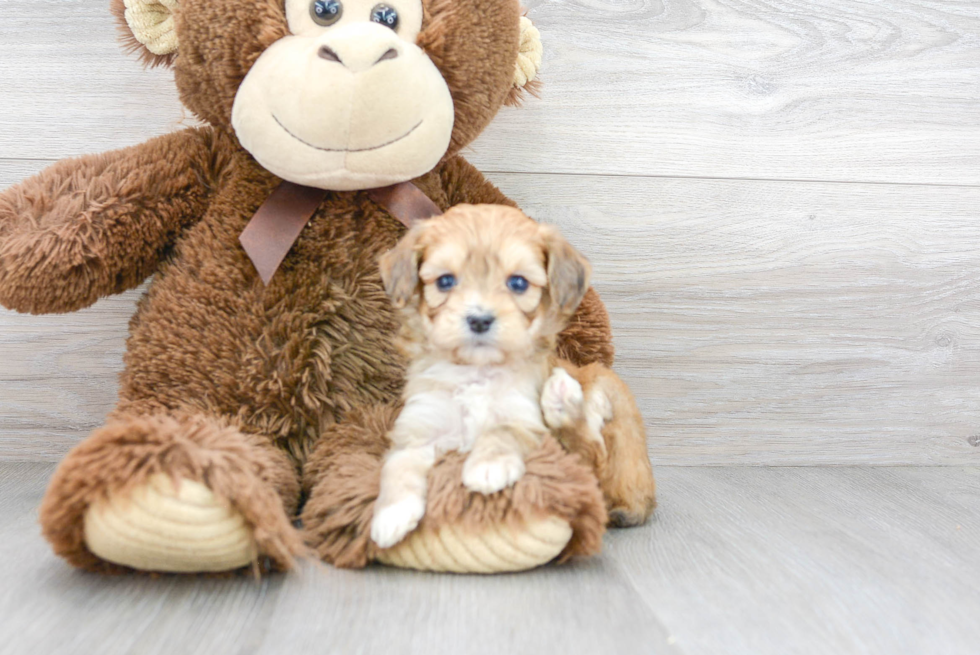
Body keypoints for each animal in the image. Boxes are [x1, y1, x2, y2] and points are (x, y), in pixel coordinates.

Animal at [372, 204, 656, 548]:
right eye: (445, 281)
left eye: (518, 283)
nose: (480, 320)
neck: (477, 371)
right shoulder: (418, 429)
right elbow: (397, 467)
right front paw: (391, 515)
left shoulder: (525, 417)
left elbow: (503, 430)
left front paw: (488, 466)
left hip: (604, 386)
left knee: (592, 455)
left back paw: (561, 400)